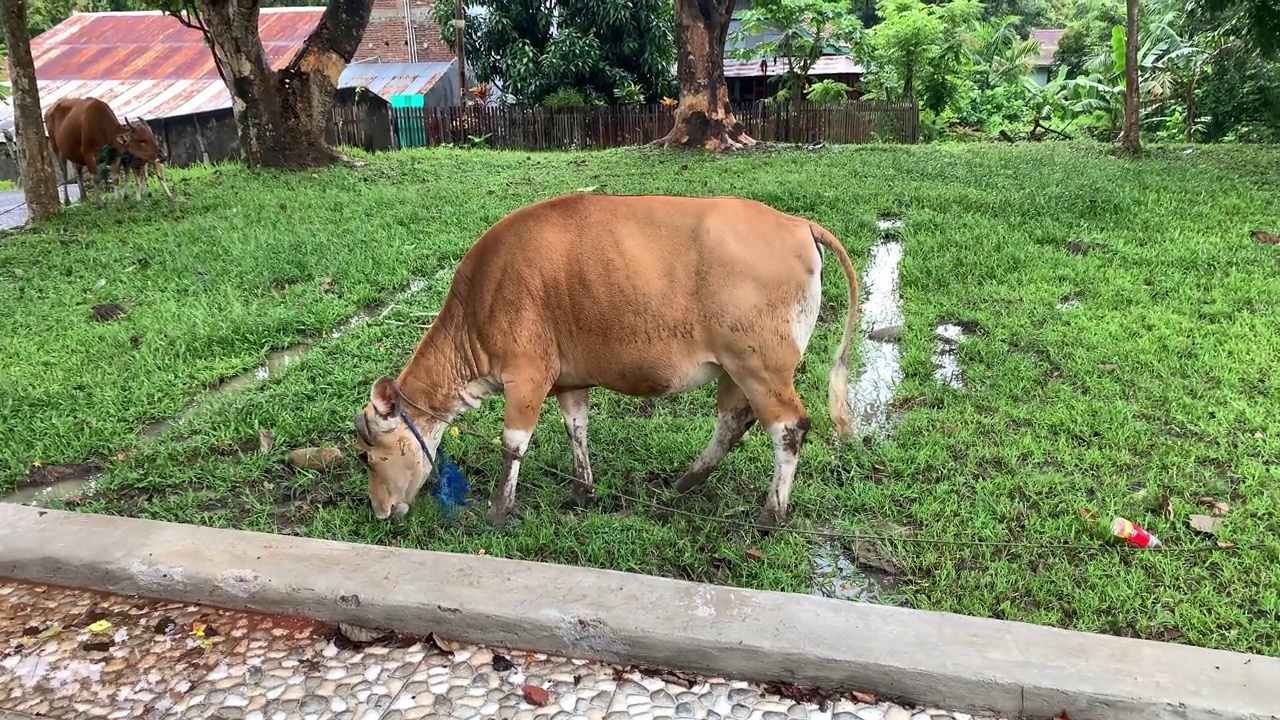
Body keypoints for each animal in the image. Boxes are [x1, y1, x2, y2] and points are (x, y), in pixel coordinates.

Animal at [353, 193, 860, 530]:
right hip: (735, 369)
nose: (379, 511)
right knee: (734, 421)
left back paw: (771, 513)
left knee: (789, 427)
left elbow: (513, 443)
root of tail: (796, 223)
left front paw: (499, 509)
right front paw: (581, 489)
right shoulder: (567, 380)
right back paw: (685, 483)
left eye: (367, 457)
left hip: (762, 368)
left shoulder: (527, 375)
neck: (481, 299)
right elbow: (576, 427)